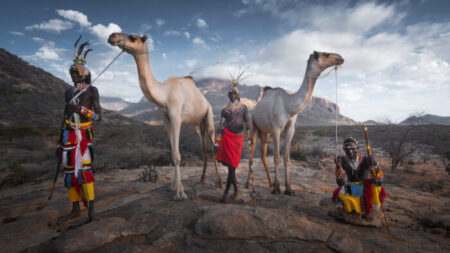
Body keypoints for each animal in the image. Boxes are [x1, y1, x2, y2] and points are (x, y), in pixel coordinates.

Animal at [108, 33, 221, 200]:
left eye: (133, 37)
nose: (112, 36)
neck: (164, 93)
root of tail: (207, 102)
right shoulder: (166, 120)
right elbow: (172, 153)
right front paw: (173, 187)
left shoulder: (176, 118)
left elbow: (177, 155)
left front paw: (180, 193)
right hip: (198, 125)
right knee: (205, 150)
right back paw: (202, 179)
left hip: (209, 117)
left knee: (213, 146)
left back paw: (219, 183)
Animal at [248, 51, 342, 194]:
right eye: (325, 54)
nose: (340, 58)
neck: (288, 106)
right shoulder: (276, 128)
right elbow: (276, 157)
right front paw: (277, 188)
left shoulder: (290, 129)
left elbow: (286, 158)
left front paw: (288, 188)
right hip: (254, 124)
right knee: (252, 151)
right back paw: (248, 184)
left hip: (265, 131)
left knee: (263, 153)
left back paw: (270, 183)